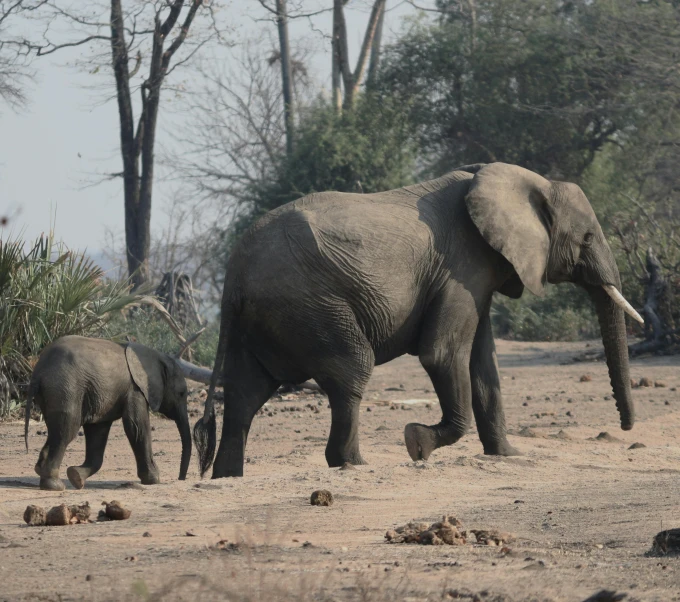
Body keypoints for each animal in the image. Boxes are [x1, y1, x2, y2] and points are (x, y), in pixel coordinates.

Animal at [24, 336, 191, 490]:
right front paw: (154, 480)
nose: (180, 478)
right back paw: (54, 485)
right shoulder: (135, 389)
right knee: (66, 430)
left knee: (56, 430)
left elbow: (98, 432)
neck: (157, 356)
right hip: (65, 389)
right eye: (182, 393)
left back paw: (43, 474)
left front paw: (76, 477)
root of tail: (38, 370)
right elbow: (137, 427)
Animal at [194, 161, 640, 478]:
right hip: (309, 305)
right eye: (586, 239)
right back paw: (353, 464)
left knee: (245, 392)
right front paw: (417, 444)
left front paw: (508, 455)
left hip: (263, 318)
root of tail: (233, 275)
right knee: (351, 369)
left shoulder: (476, 273)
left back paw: (227, 477)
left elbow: (483, 362)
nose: (626, 428)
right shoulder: (462, 265)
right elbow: (442, 354)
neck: (529, 181)